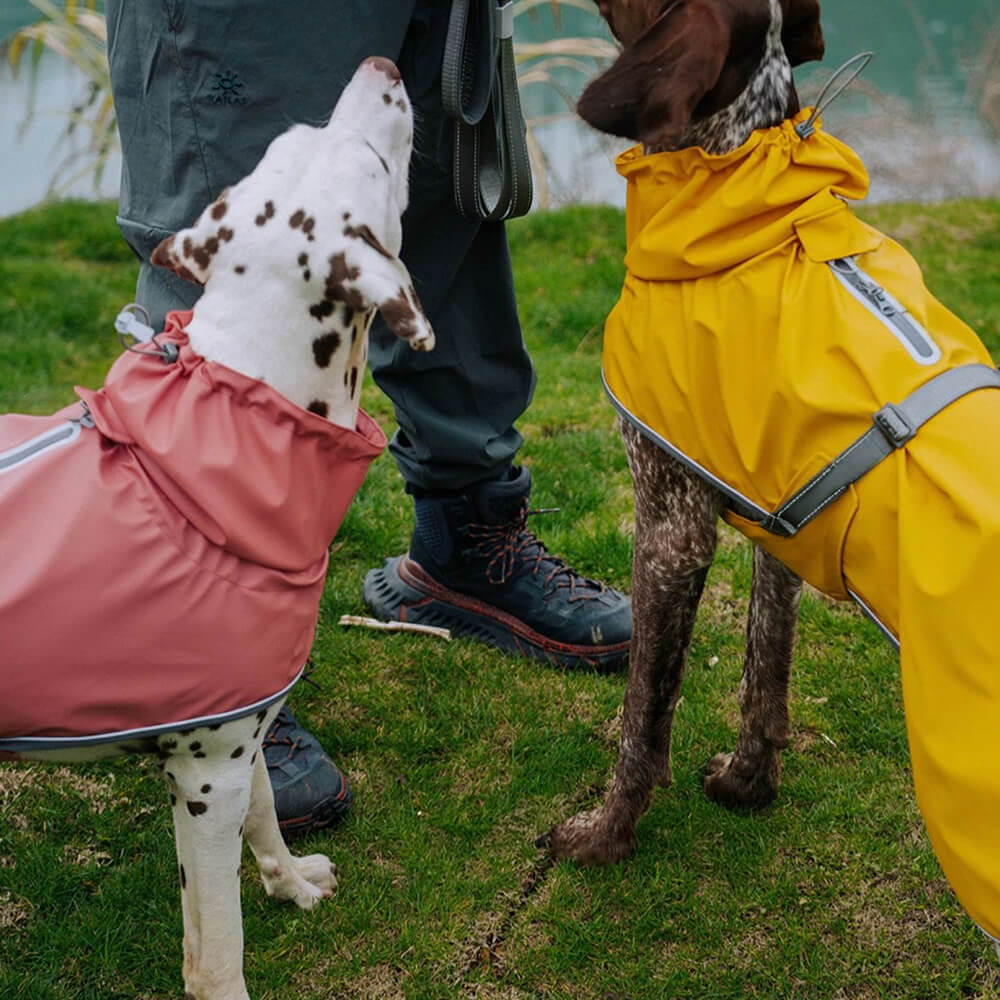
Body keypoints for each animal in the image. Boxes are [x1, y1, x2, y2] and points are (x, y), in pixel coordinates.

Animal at [3, 58, 434, 1000]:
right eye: (373, 167)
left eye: (295, 137)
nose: (383, 67)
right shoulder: (205, 779)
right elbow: (217, 954)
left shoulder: (239, 749)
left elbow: (268, 813)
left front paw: (289, 880)